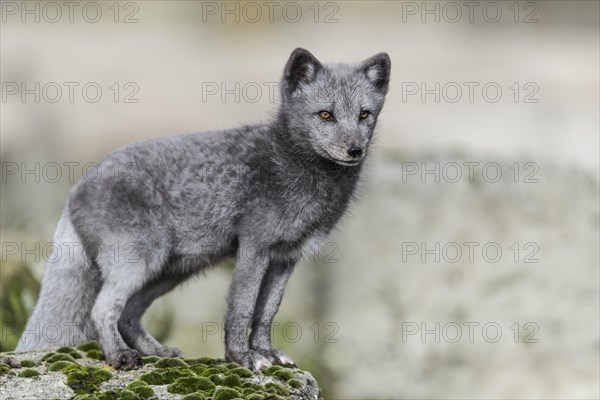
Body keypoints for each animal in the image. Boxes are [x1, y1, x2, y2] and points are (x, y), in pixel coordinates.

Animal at [16, 48, 392, 370]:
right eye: (326, 114)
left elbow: (266, 313)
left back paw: (159, 353)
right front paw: (243, 359)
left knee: (128, 315)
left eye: (364, 115)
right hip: (140, 263)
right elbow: (242, 309)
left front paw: (267, 353)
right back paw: (121, 358)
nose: (355, 150)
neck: (291, 165)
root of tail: (73, 190)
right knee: (103, 310)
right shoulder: (254, 248)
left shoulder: (287, 258)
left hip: (169, 271)